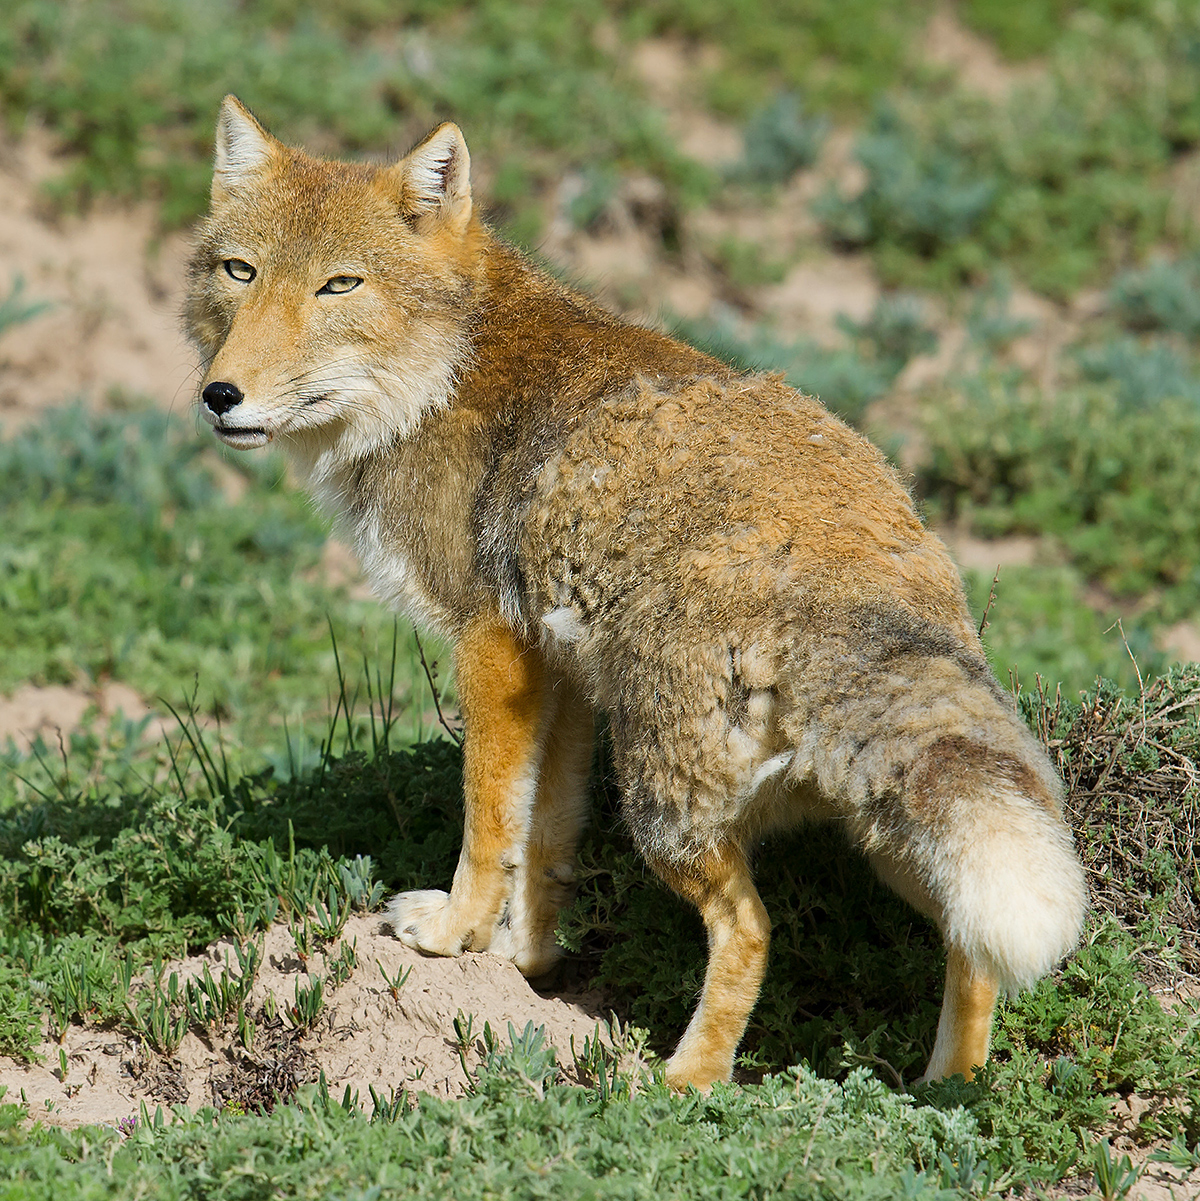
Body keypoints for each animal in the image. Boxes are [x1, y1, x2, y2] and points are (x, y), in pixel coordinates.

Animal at [184, 98, 1090, 1095]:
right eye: (240, 271)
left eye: (338, 286)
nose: (220, 395)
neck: (444, 377)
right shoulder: (564, 675)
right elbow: (547, 838)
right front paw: (525, 962)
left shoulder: (489, 646)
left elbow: (488, 819)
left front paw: (456, 935)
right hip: (888, 833)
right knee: (973, 950)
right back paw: (948, 1091)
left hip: (666, 813)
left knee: (752, 929)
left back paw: (684, 1083)